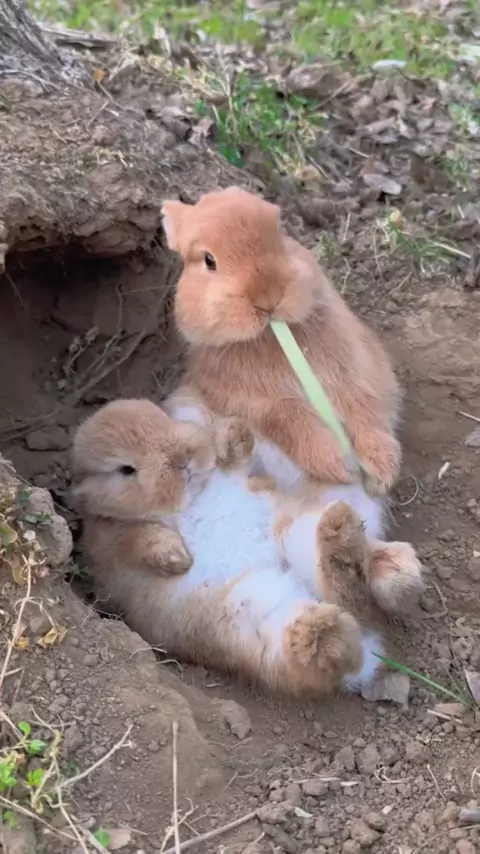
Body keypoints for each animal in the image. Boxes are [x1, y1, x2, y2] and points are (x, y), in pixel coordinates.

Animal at [71, 398, 386, 698]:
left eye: (163, 418)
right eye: (126, 469)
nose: (182, 460)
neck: (190, 499)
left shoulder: (236, 475)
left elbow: (237, 461)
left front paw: (235, 432)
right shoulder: (113, 542)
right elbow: (141, 538)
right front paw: (178, 558)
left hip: (294, 531)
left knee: (348, 595)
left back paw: (340, 537)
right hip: (251, 615)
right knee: (311, 660)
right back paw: (322, 631)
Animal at [161, 186, 402, 498]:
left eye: (279, 233)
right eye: (208, 261)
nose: (267, 297)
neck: (270, 335)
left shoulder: (356, 369)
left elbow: (362, 406)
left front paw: (382, 471)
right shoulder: (255, 403)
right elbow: (289, 419)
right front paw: (338, 464)